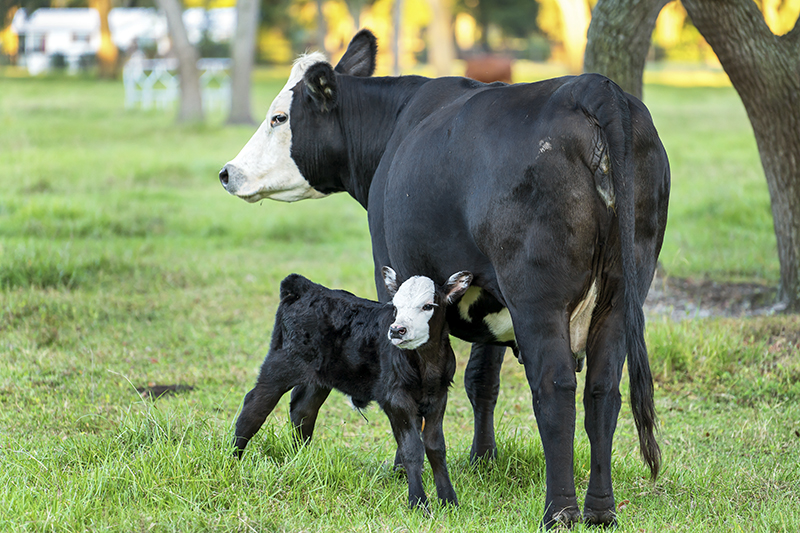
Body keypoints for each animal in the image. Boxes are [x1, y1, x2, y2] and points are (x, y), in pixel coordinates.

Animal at [231, 266, 472, 508]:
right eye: (395, 306)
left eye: (428, 306)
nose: (397, 330)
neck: (426, 365)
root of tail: (306, 288)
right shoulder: (395, 398)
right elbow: (412, 449)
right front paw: (418, 503)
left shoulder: (438, 397)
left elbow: (435, 448)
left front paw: (449, 501)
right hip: (280, 363)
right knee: (255, 406)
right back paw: (233, 459)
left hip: (318, 378)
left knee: (303, 410)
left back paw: (301, 461)